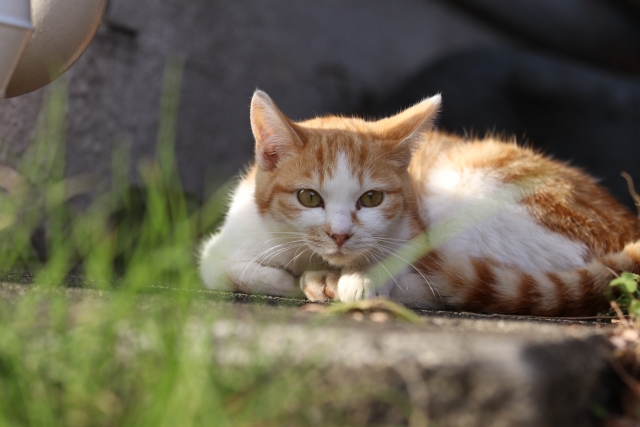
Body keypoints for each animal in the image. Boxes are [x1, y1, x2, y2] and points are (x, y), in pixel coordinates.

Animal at [199, 90, 640, 318]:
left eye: (371, 198)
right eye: (309, 197)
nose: (340, 235)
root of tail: (625, 226)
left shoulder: (412, 228)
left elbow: (399, 256)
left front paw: (359, 278)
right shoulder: (224, 243)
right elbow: (227, 269)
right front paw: (294, 279)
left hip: (465, 192)